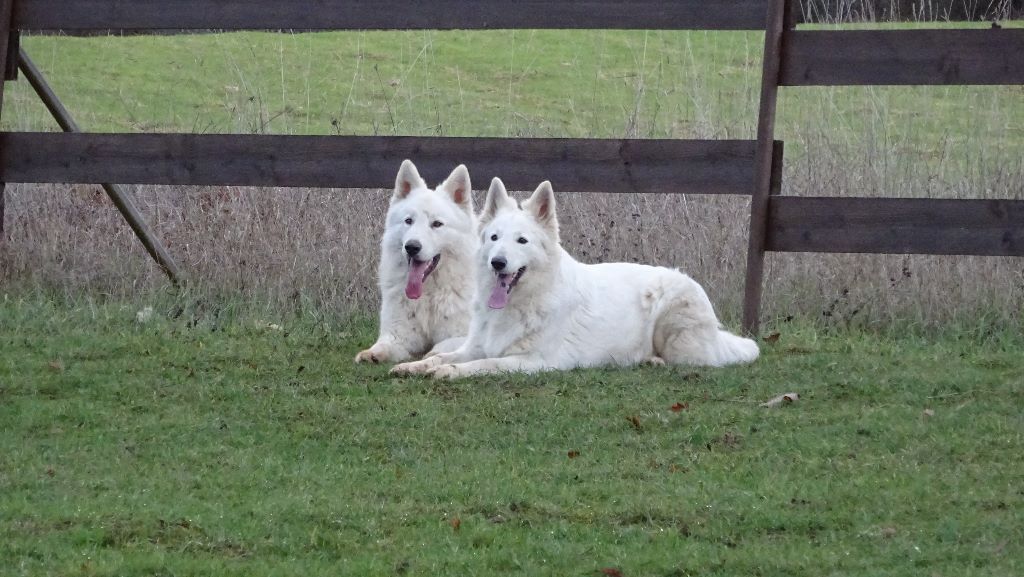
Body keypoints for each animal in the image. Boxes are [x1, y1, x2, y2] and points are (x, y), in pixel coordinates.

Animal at [354, 159, 477, 362]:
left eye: (437, 224)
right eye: (409, 221)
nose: (411, 247)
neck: (429, 294)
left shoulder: (467, 334)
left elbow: (444, 346)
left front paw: (433, 356)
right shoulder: (399, 335)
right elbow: (384, 343)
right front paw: (371, 354)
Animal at [391, 180, 761, 379]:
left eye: (521, 241)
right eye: (494, 238)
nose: (498, 263)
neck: (519, 304)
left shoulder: (533, 361)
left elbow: (484, 364)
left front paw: (448, 373)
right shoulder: (475, 345)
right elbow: (441, 356)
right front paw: (415, 366)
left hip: (677, 329)